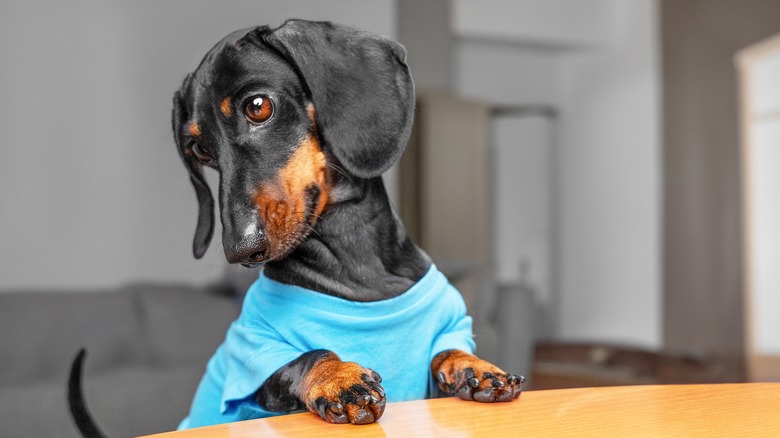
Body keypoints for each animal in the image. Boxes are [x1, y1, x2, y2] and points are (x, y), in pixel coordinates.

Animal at [71, 18, 524, 434]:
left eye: (258, 106)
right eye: (199, 148)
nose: (240, 250)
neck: (358, 262)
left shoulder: (449, 329)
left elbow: (445, 351)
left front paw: (476, 368)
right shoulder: (254, 353)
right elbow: (305, 356)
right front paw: (339, 379)